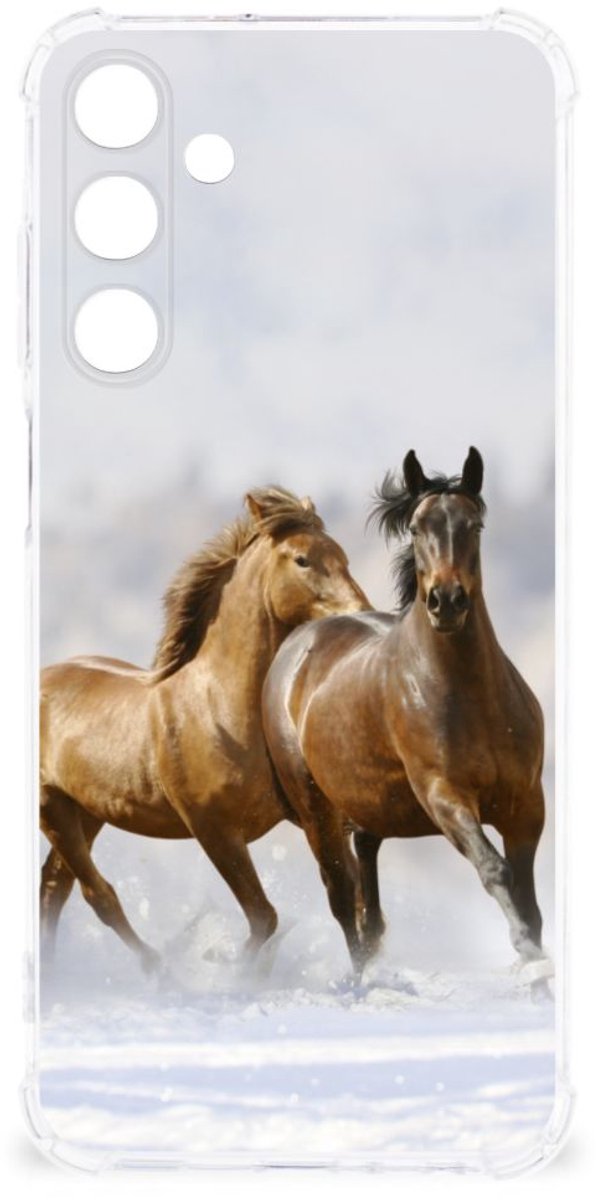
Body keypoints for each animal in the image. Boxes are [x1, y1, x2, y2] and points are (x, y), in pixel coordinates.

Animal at [40, 486, 370, 972]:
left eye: (343, 555)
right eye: (302, 559)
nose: (361, 614)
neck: (220, 709)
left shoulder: (312, 815)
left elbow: (345, 894)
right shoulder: (213, 830)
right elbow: (264, 917)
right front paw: (228, 968)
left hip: (86, 811)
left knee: (53, 887)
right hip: (53, 809)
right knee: (95, 894)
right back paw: (159, 969)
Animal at [262, 449, 547, 977]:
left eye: (475, 524)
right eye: (416, 528)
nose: (446, 601)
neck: (471, 697)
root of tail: (296, 644)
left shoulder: (526, 805)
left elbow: (528, 899)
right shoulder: (445, 797)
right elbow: (495, 870)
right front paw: (528, 956)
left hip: (366, 808)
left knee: (367, 899)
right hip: (316, 811)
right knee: (342, 899)